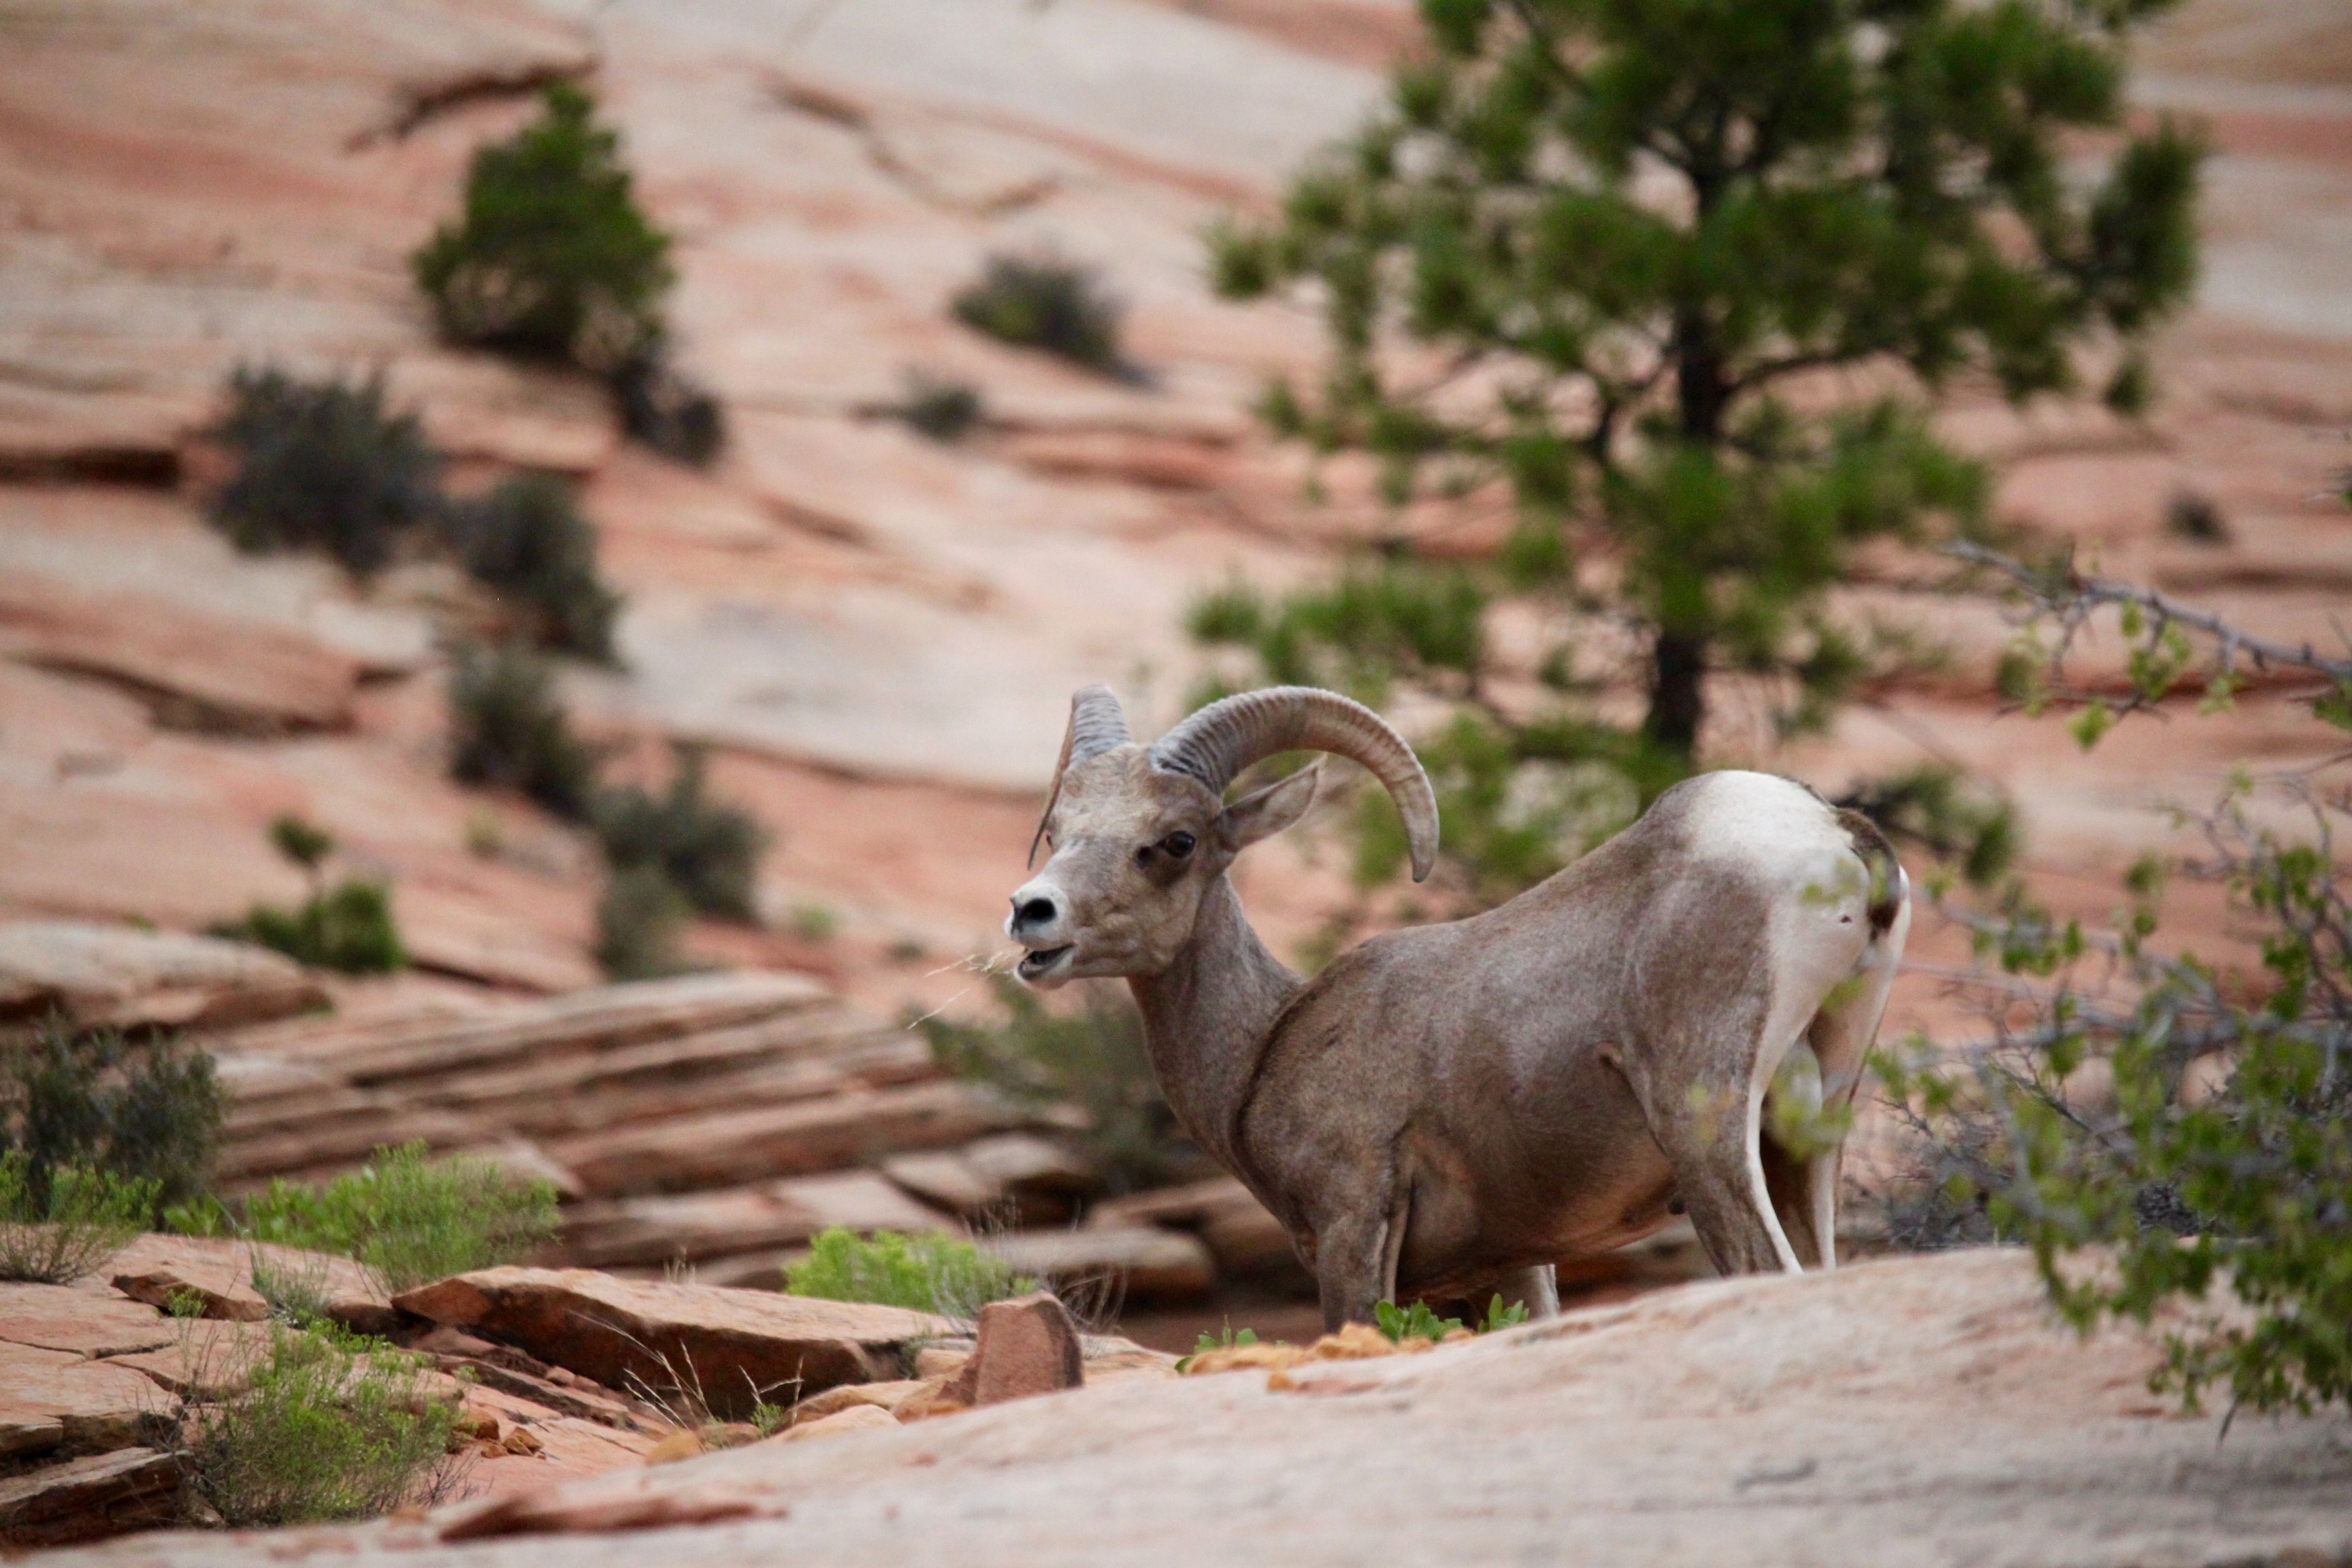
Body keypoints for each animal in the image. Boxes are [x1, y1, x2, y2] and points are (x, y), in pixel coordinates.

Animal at [1006, 684, 1910, 1329]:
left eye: (1177, 842)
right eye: (1058, 830)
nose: (1032, 913)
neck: (1266, 1048)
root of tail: (1838, 837)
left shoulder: (1352, 1229)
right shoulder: (1514, 1266)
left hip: (1707, 1130)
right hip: (1811, 1136)